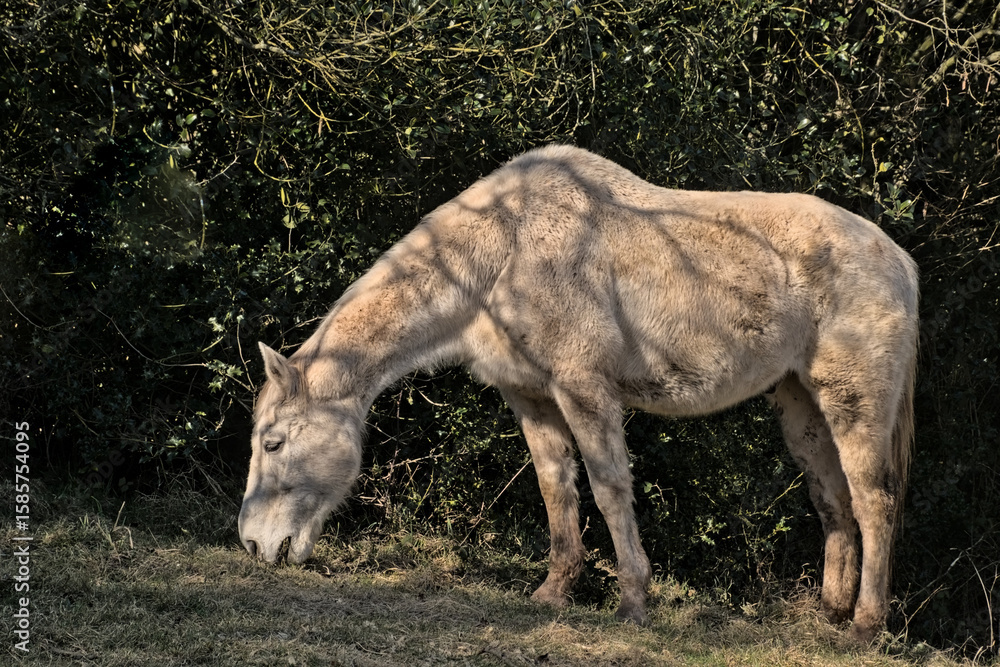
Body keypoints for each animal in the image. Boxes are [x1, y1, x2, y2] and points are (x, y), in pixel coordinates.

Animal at [238, 145, 919, 641]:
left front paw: (632, 602)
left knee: (875, 501)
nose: (252, 544)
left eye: (273, 444)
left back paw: (864, 627)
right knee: (834, 501)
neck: (503, 250)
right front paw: (555, 591)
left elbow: (609, 487)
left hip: (853, 402)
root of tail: (900, 261)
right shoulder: (532, 398)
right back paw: (830, 616)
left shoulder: (583, 389)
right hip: (803, 404)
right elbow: (555, 488)